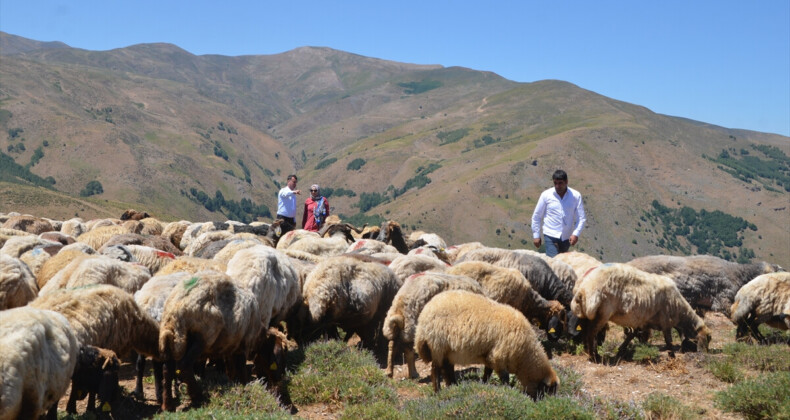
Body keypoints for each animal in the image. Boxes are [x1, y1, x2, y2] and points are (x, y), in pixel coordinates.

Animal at [159, 270, 262, 410]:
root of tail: (175, 310)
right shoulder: (243, 341)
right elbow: (240, 366)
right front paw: (243, 384)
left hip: (173, 339)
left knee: (167, 369)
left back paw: (167, 405)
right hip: (204, 335)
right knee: (184, 365)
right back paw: (198, 397)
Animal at [414, 290, 564, 398]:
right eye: (548, 391)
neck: (524, 357)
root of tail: (423, 314)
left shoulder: (490, 357)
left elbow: (487, 372)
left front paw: (484, 384)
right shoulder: (498, 356)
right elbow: (504, 378)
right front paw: (507, 390)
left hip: (448, 350)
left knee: (447, 368)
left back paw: (453, 386)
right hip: (437, 344)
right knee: (435, 369)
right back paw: (437, 392)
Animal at [568, 262, 712, 360]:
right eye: (707, 339)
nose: (704, 353)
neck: (680, 311)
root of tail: (583, 289)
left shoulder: (642, 322)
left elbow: (633, 335)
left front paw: (621, 350)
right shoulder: (665, 321)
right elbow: (669, 341)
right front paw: (672, 356)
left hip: (586, 313)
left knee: (585, 331)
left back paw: (589, 352)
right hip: (602, 312)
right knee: (591, 333)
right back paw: (594, 356)